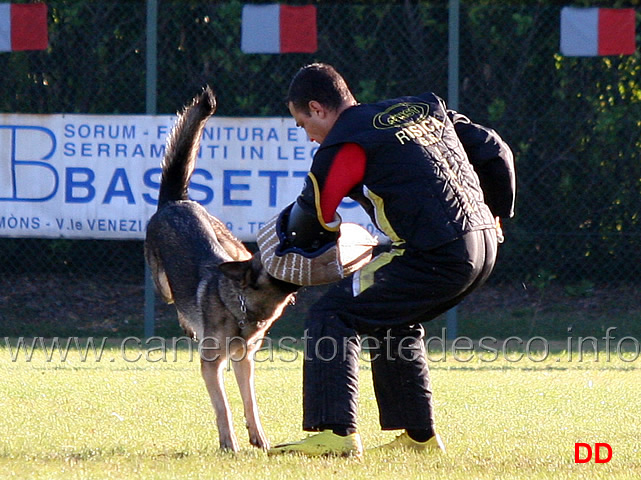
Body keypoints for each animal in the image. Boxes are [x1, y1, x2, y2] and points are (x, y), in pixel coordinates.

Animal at [145, 86, 298, 450]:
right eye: (277, 257)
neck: (241, 309)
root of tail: (177, 200)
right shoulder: (211, 365)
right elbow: (223, 405)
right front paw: (229, 443)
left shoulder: (244, 362)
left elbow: (250, 401)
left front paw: (258, 437)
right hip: (163, 282)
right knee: (173, 299)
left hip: (230, 243)